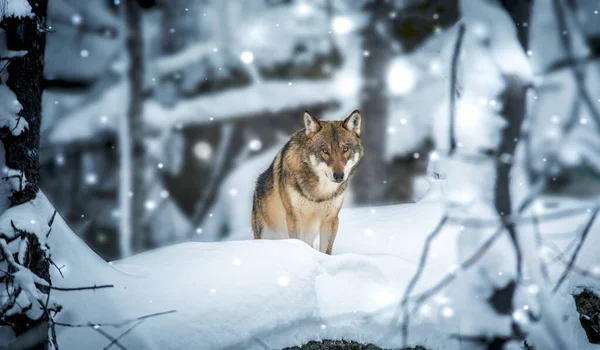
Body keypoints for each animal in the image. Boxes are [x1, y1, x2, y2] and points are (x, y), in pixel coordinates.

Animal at [251, 109, 364, 254]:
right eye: (325, 151)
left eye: (345, 149)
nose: (339, 176)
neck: (320, 193)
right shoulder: (293, 216)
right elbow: (297, 241)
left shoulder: (331, 219)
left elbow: (326, 250)